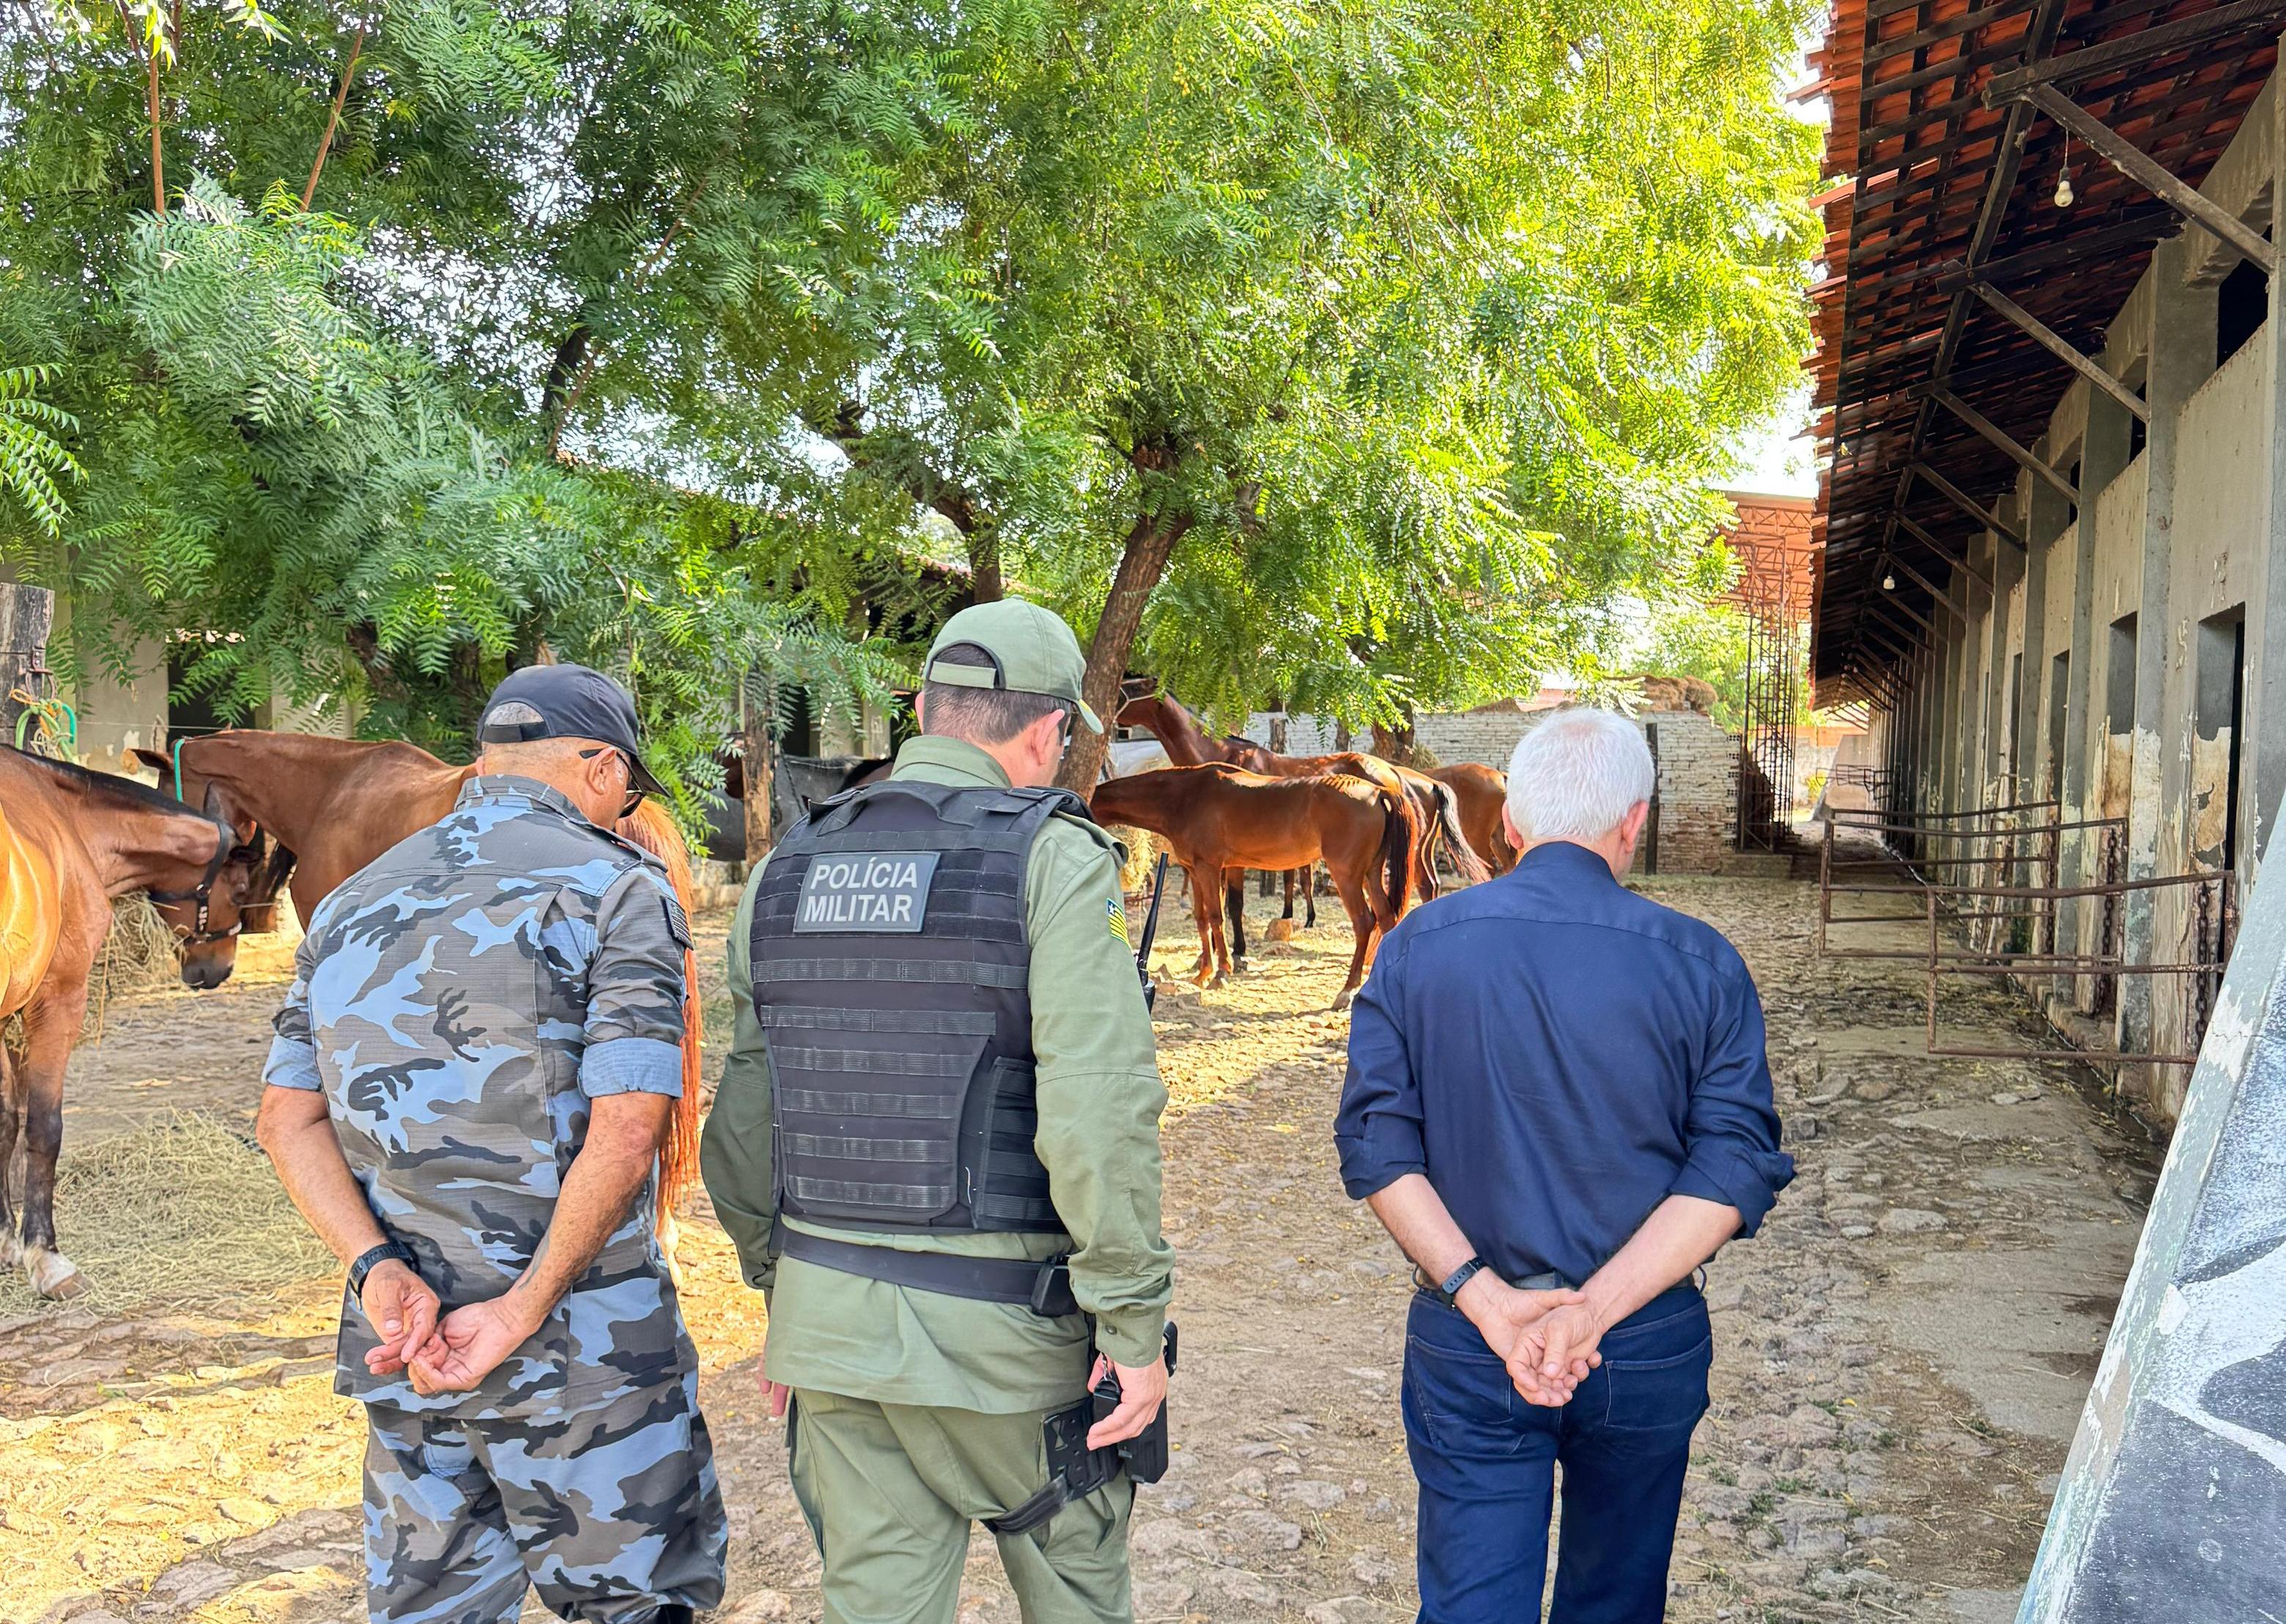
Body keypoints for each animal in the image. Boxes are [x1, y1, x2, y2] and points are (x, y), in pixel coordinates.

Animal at [0, 744, 262, 1297]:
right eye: (240, 887)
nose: (220, 969)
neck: (66, 819)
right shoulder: (58, 998)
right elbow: (43, 1128)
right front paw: (46, 1255)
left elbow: (6, 1119)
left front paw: (6, 1242)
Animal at [1088, 767, 1408, 1014]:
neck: (1185, 797)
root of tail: (1377, 792)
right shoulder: (1196, 870)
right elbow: (1201, 920)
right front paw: (1203, 972)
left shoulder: (1209, 867)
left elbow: (1216, 917)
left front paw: (1221, 972)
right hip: (1370, 875)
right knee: (1387, 918)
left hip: (1347, 876)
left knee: (1365, 922)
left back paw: (1347, 990)